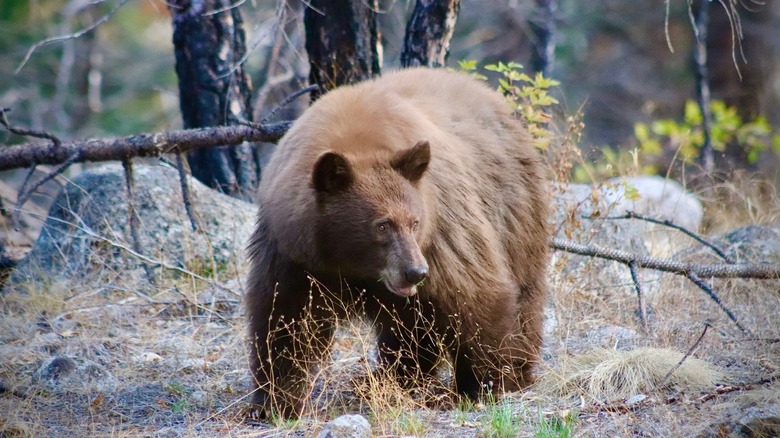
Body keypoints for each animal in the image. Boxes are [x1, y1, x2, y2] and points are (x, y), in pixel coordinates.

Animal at [247, 66, 552, 420]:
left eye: (414, 222)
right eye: (381, 225)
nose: (416, 272)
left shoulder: (442, 231)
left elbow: (476, 294)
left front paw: (485, 385)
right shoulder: (292, 252)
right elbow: (286, 319)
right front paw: (275, 401)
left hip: (515, 212)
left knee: (523, 293)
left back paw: (515, 372)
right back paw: (399, 378)